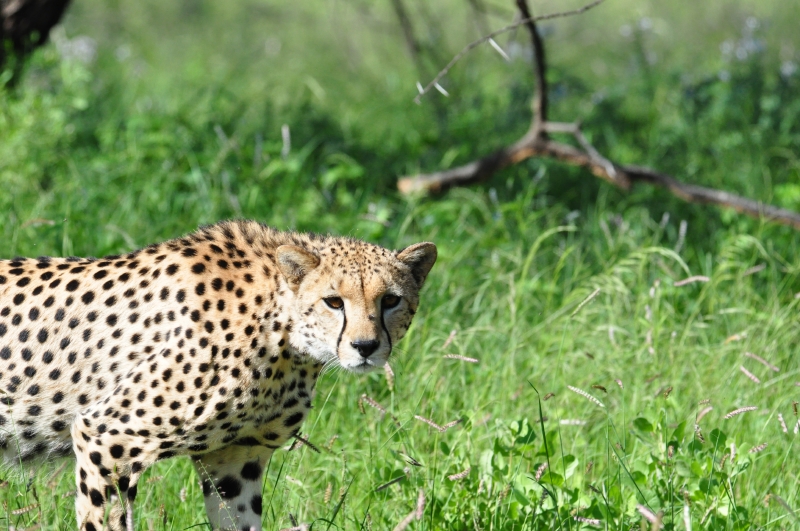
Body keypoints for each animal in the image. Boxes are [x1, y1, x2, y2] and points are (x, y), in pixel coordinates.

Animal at [0, 219, 437, 531]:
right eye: (333, 302)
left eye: (390, 300)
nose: (366, 346)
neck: (282, 333)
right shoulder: (106, 436)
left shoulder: (235, 457)